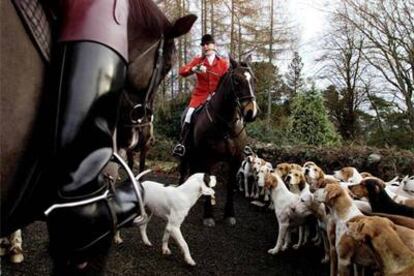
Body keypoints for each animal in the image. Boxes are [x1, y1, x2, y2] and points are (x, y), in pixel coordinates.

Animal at [179, 58, 258, 226]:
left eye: (254, 80)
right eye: (236, 81)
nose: (251, 112)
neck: (225, 124)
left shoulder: (235, 160)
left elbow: (230, 185)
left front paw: (229, 215)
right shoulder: (209, 158)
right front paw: (208, 215)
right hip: (187, 154)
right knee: (183, 172)